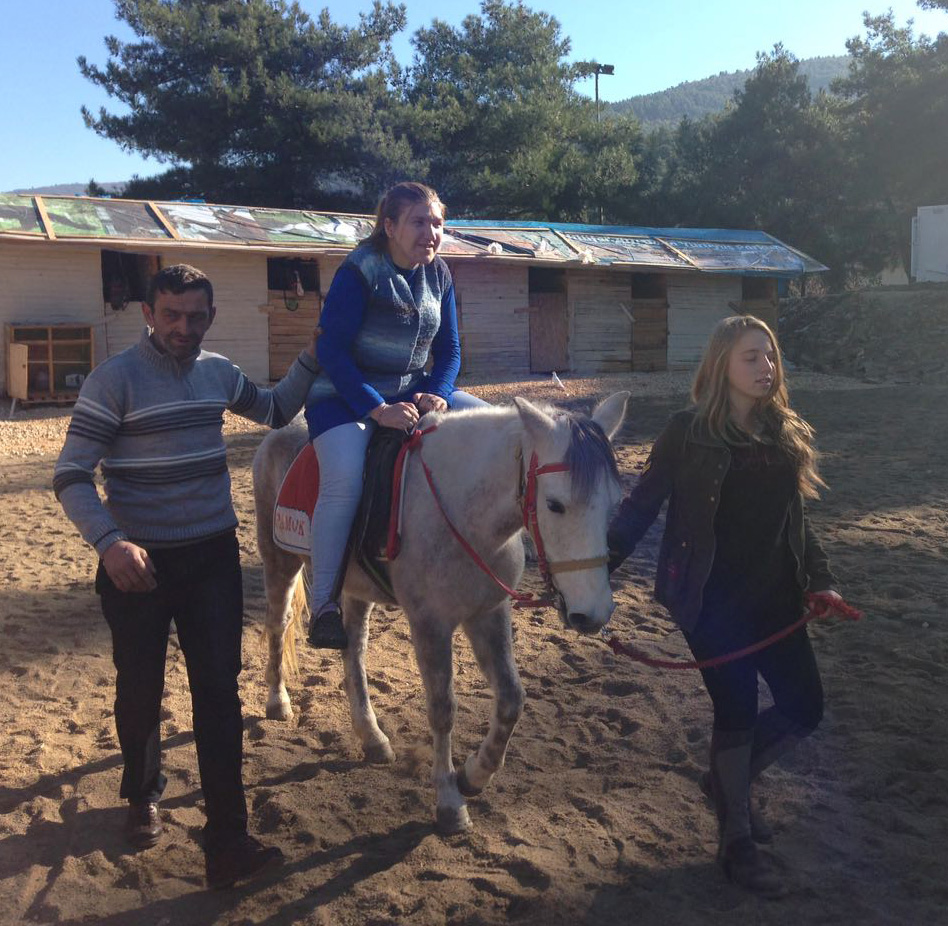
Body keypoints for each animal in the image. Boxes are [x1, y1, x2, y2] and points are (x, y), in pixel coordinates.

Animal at [252, 392, 629, 833]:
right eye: (554, 504)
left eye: (614, 503)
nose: (594, 612)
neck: (464, 512)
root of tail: (281, 431)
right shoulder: (430, 625)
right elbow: (443, 709)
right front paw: (449, 800)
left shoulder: (488, 613)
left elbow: (512, 699)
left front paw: (474, 775)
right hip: (280, 560)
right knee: (278, 625)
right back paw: (277, 702)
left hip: (354, 588)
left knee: (354, 649)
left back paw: (372, 737)